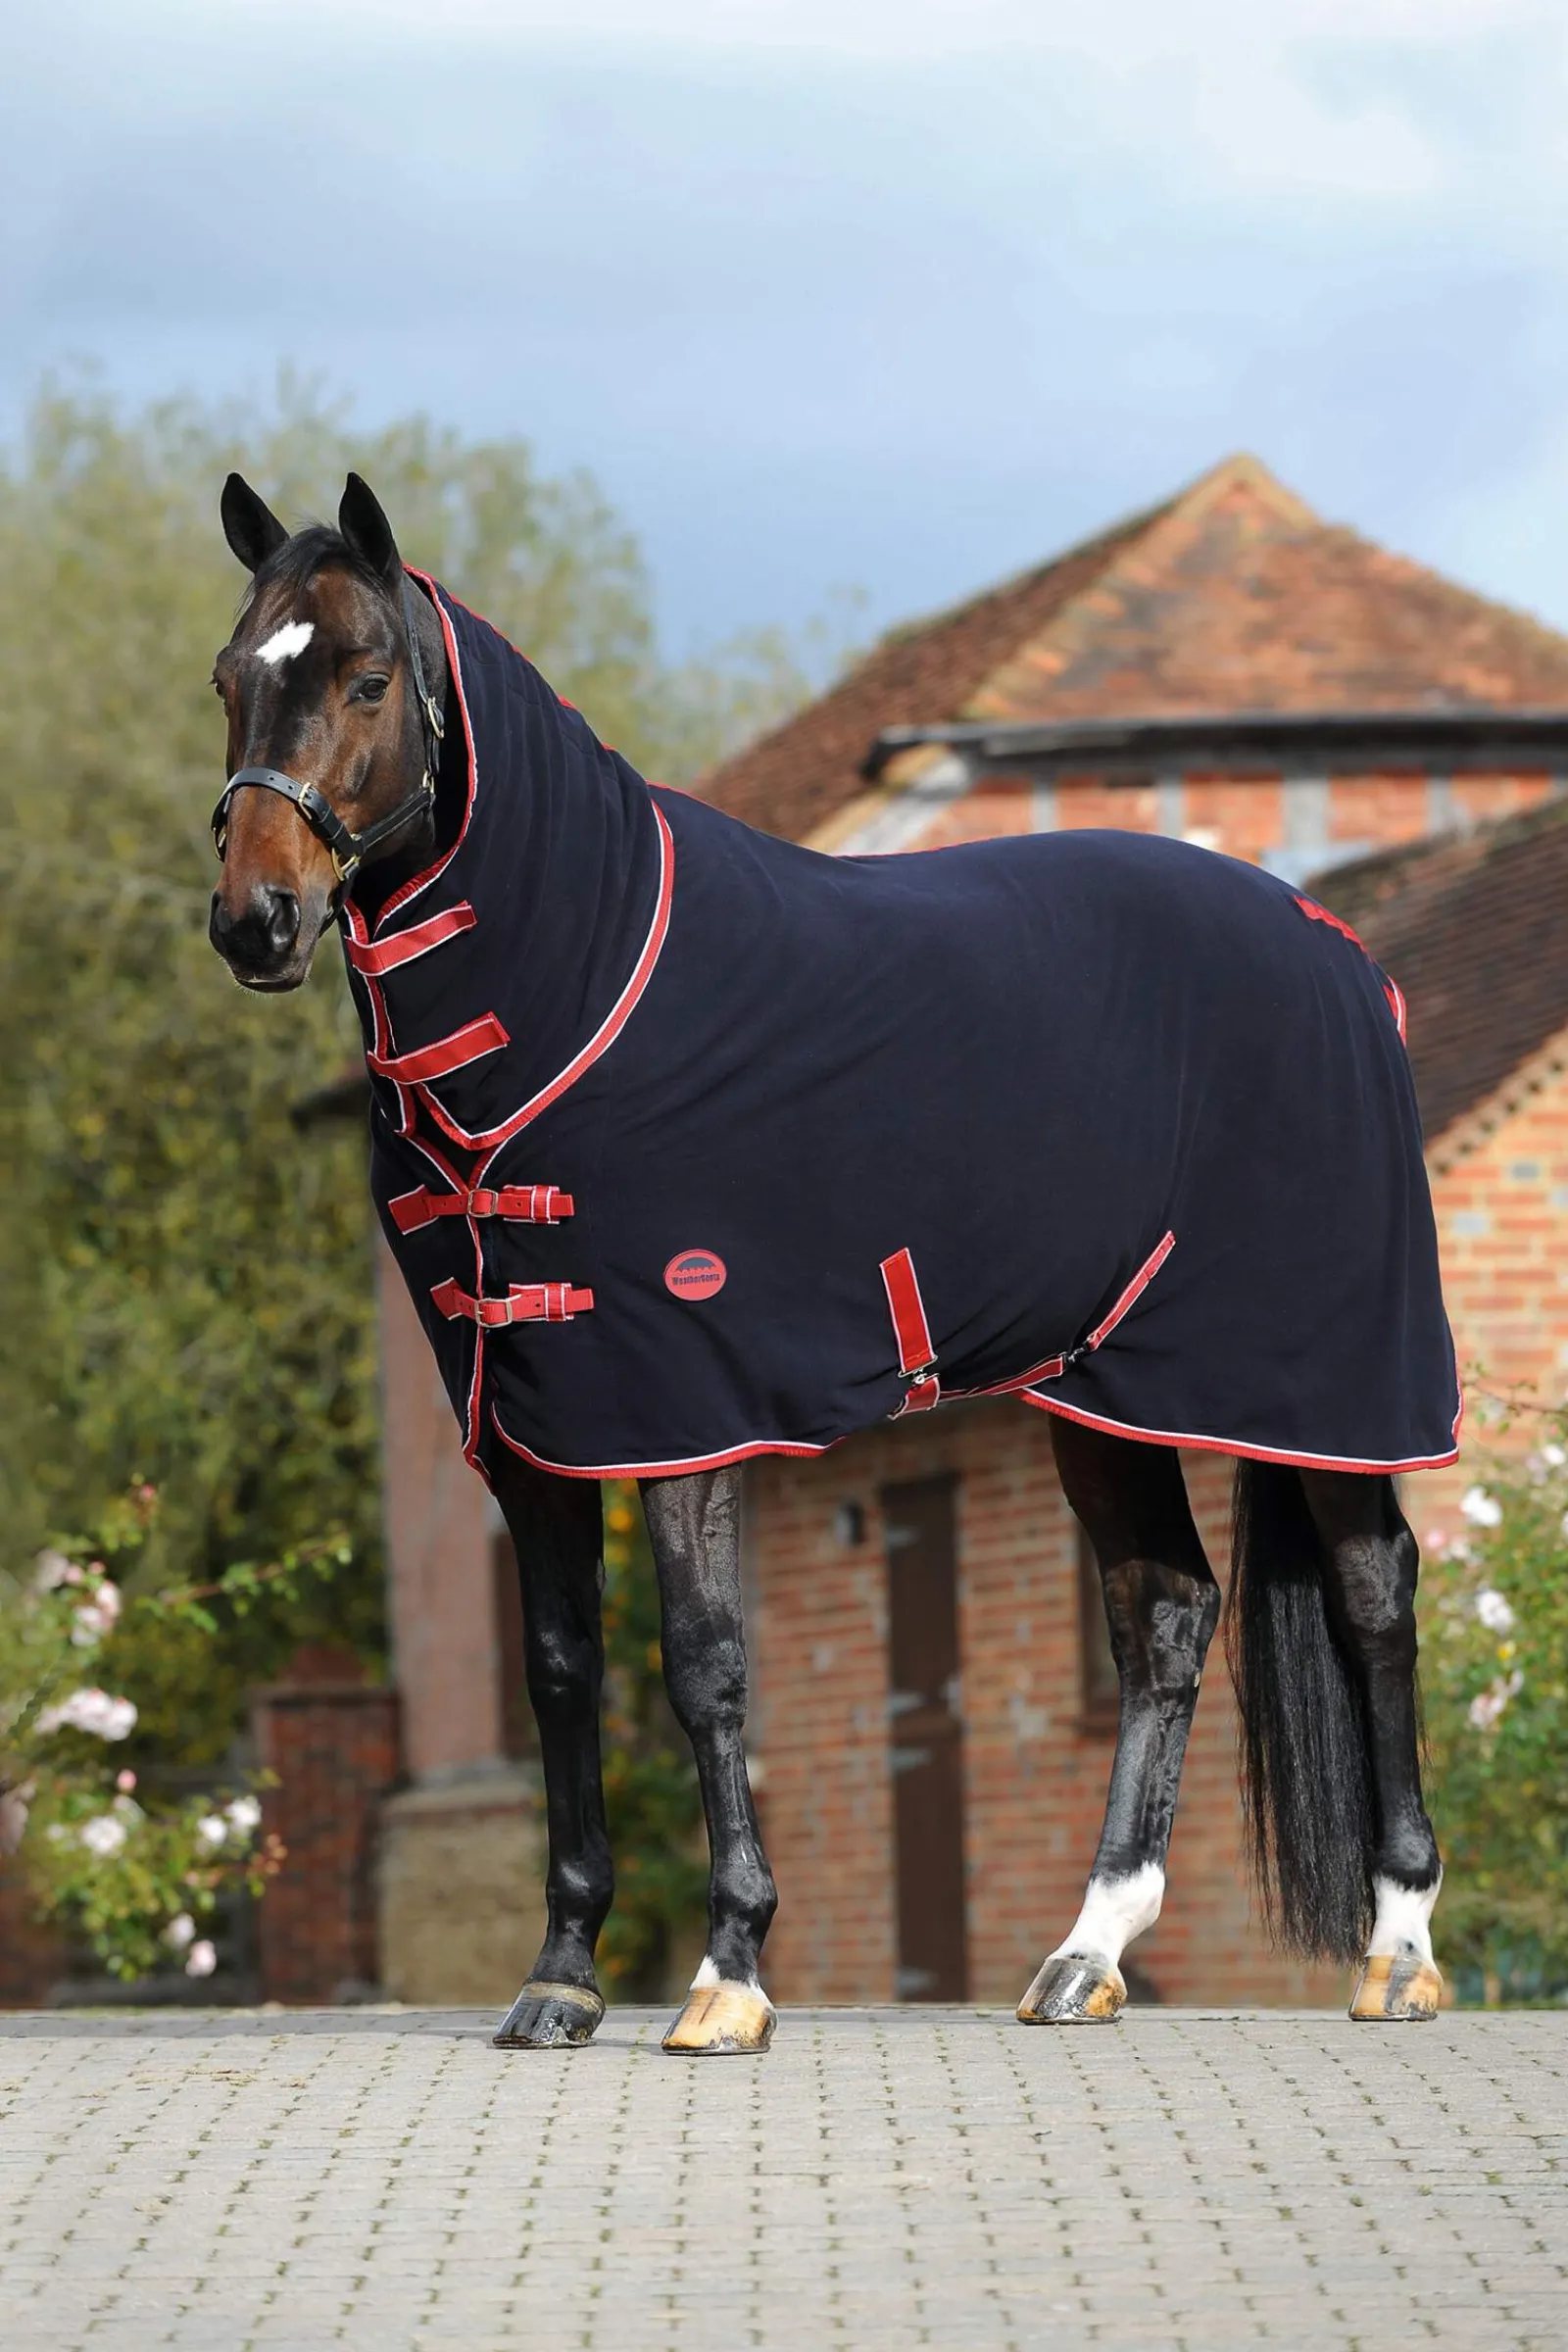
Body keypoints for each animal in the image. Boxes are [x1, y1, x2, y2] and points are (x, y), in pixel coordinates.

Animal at [207, 470, 1457, 2052]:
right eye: (231, 678)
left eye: (367, 678)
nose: (255, 920)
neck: (581, 991)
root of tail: (1341, 953)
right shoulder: (530, 1418)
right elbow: (560, 1669)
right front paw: (560, 1975)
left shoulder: (679, 1405)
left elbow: (703, 1667)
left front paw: (729, 1972)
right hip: (1105, 1395)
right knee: (1166, 1619)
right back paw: (1087, 1954)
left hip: (1324, 1382)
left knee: (1373, 1599)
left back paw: (1398, 1949)